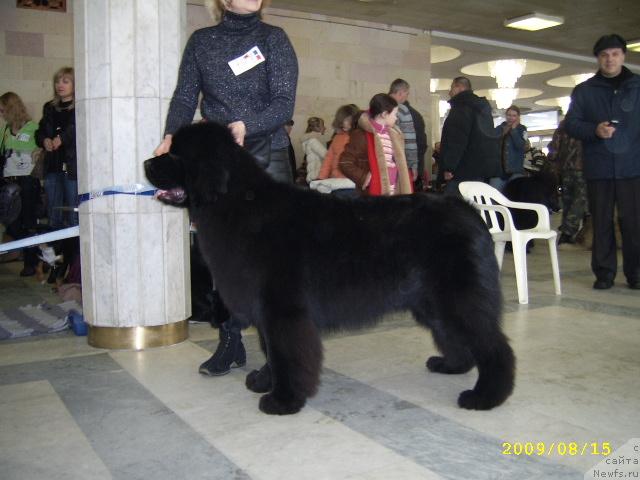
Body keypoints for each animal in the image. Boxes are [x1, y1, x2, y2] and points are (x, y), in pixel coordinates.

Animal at [145, 123, 516, 416]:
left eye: (175, 155)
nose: (147, 161)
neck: (236, 203)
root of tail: (468, 211)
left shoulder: (283, 310)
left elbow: (286, 354)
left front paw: (283, 400)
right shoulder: (267, 311)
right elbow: (271, 351)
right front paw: (264, 381)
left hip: (458, 297)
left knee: (493, 345)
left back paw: (486, 397)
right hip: (432, 302)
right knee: (455, 336)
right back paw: (452, 366)